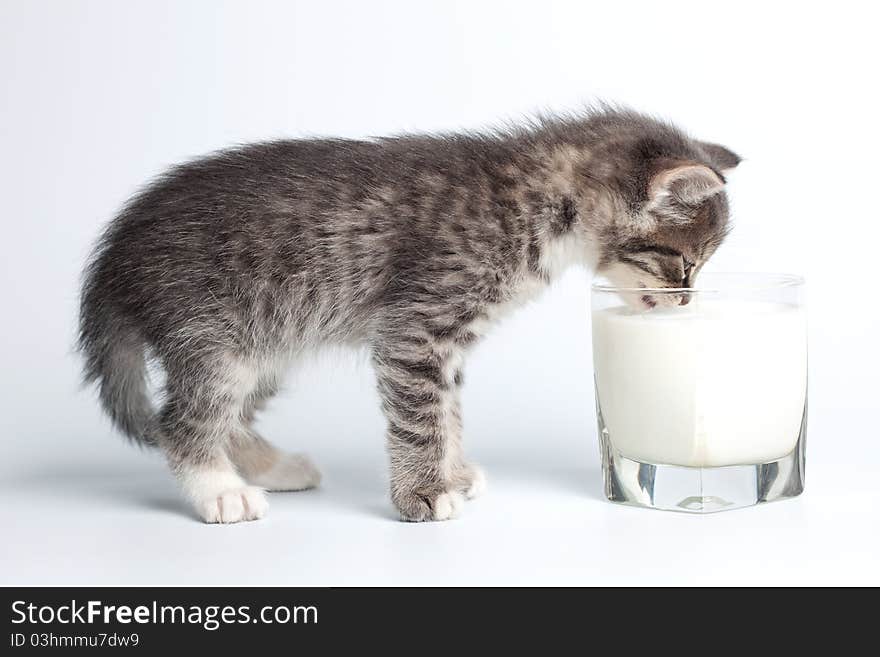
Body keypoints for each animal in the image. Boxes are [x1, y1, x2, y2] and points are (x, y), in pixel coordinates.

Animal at [79, 110, 740, 524]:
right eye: (684, 263)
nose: (687, 302)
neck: (538, 201)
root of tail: (115, 255)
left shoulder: (451, 342)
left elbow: (447, 409)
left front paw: (452, 471)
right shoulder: (417, 327)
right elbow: (420, 418)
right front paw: (423, 492)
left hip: (267, 340)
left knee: (230, 417)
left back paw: (272, 467)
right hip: (212, 334)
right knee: (182, 421)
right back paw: (220, 491)